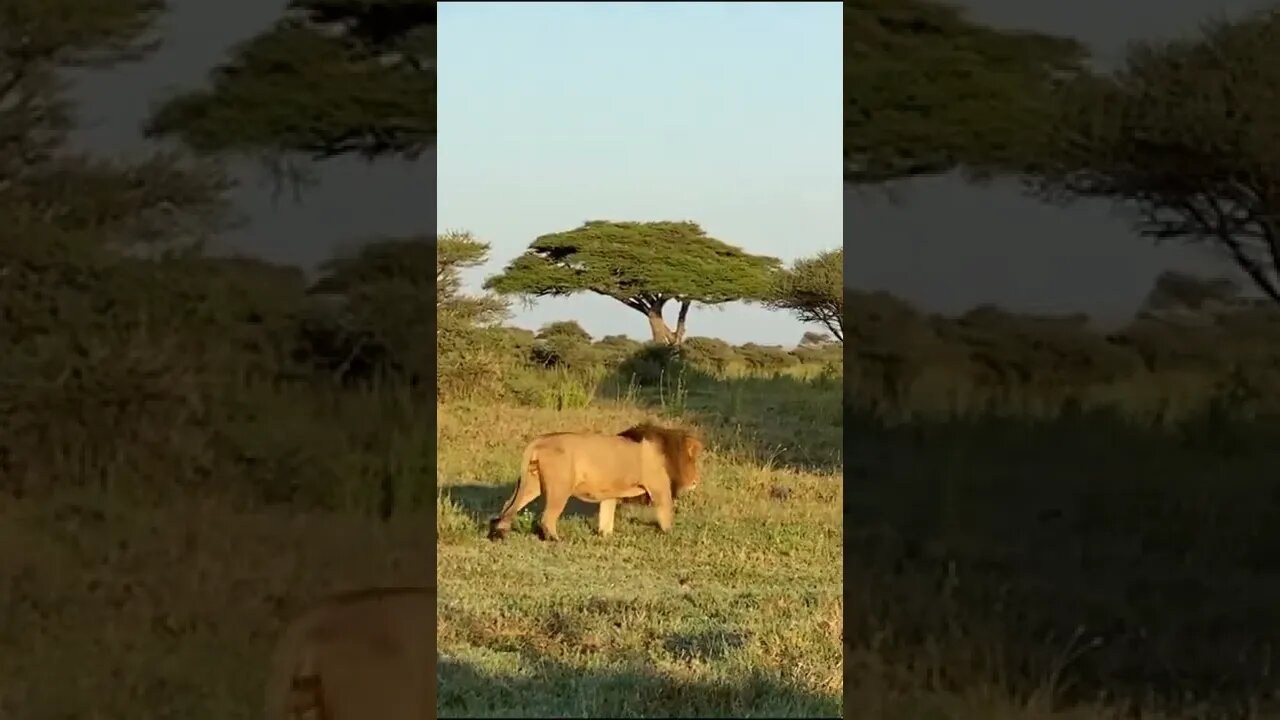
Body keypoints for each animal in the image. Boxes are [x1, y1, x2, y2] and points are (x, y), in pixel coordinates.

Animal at [488, 420, 711, 538]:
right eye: (694, 460)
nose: (696, 481)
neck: (668, 450)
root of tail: (539, 440)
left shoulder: (610, 494)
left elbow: (606, 517)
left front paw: (606, 536)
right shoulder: (660, 489)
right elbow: (666, 516)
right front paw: (671, 535)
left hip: (531, 483)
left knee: (509, 506)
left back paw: (500, 532)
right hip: (560, 488)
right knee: (547, 517)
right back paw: (555, 540)